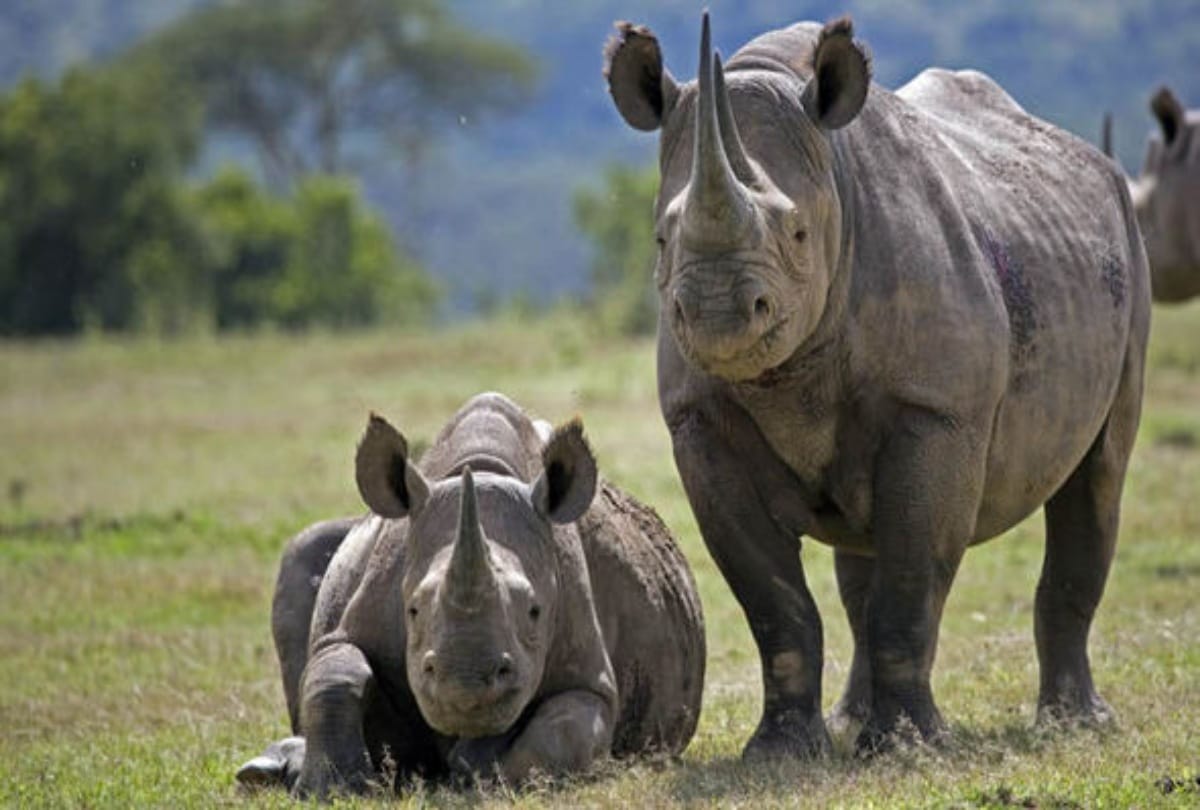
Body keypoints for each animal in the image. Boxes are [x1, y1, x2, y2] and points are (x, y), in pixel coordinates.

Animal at [237, 393, 705, 797]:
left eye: (535, 612)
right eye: (412, 610)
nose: (464, 688)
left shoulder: (589, 674)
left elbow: (565, 729)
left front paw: (478, 773)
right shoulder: (360, 616)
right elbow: (335, 668)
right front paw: (333, 789)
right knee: (305, 550)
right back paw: (266, 771)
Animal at [604, 14, 1148, 757]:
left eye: (800, 234)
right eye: (661, 240)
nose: (718, 314)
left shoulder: (937, 409)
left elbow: (912, 580)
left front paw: (910, 749)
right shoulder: (700, 422)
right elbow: (773, 601)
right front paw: (780, 751)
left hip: (1128, 252)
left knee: (1098, 475)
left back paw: (1076, 726)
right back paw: (849, 723)